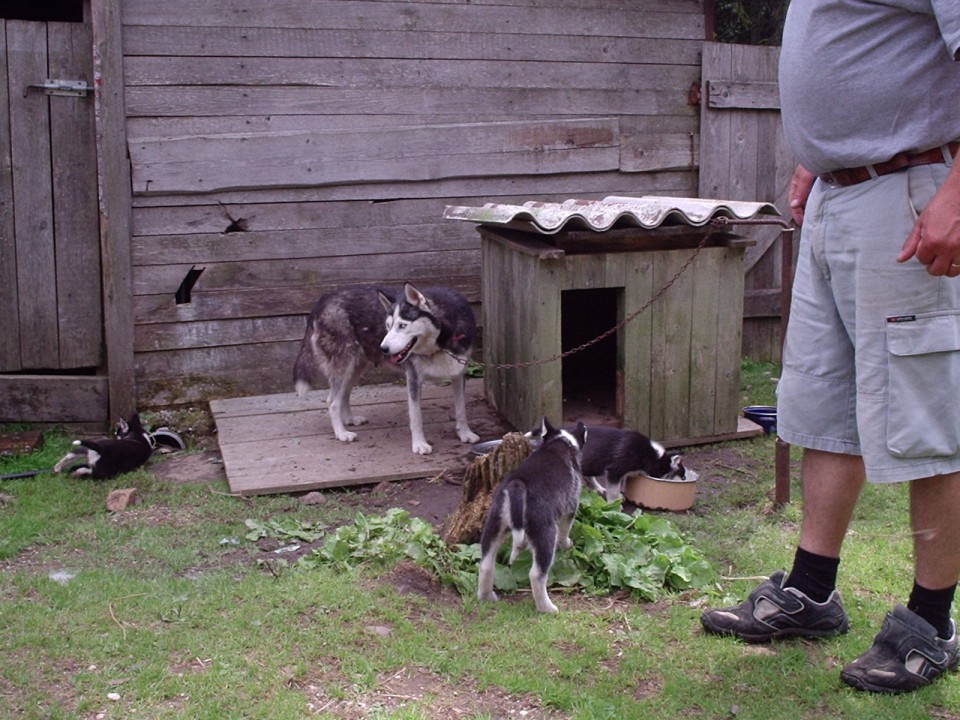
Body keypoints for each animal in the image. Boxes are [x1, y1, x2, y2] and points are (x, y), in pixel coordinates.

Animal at [288, 282, 476, 456]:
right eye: (388, 326)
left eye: (402, 325)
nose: (383, 349)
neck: (441, 343)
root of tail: (324, 299)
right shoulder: (414, 379)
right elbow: (416, 417)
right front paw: (419, 444)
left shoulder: (458, 374)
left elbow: (461, 410)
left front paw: (465, 433)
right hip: (344, 367)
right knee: (332, 401)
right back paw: (341, 433)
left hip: (355, 368)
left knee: (344, 395)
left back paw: (350, 419)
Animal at [478, 416, 588, 612]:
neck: (560, 442)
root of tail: (518, 484)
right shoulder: (570, 508)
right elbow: (565, 531)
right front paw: (567, 544)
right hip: (545, 534)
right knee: (536, 575)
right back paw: (547, 608)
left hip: (493, 525)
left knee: (486, 565)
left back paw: (486, 596)